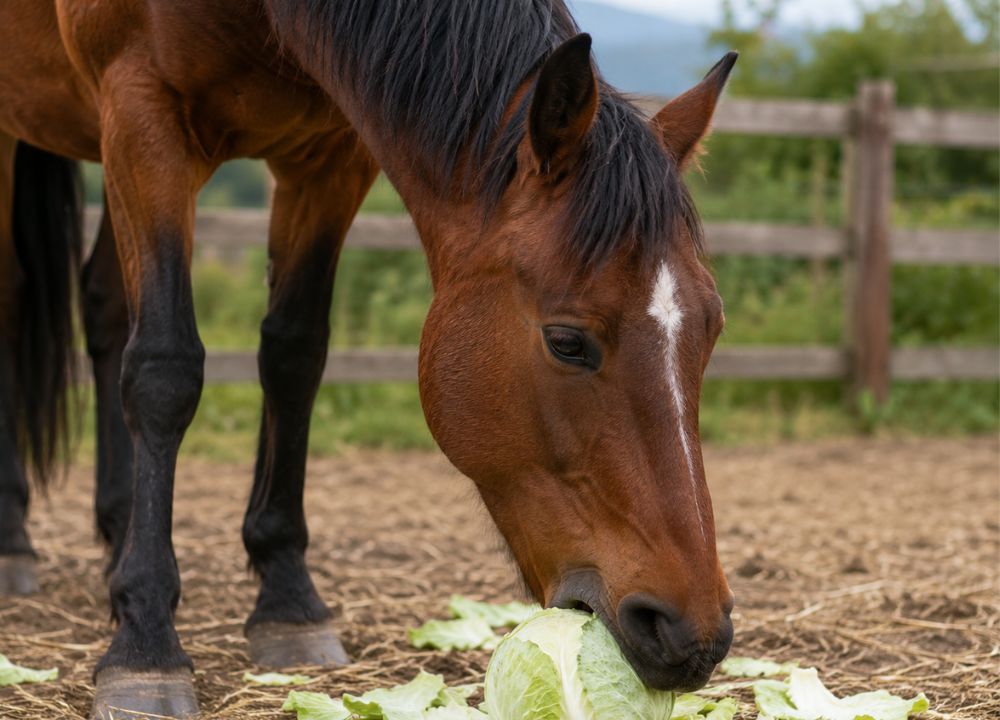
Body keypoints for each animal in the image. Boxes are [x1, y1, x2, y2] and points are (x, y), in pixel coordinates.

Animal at [0, 1, 737, 717]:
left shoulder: (329, 157)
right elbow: (164, 368)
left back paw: (117, 532)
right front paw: (146, 641)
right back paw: (16, 542)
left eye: (712, 329)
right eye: (566, 341)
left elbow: (294, 355)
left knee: (102, 305)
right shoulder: (142, 115)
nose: (691, 633)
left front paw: (289, 601)